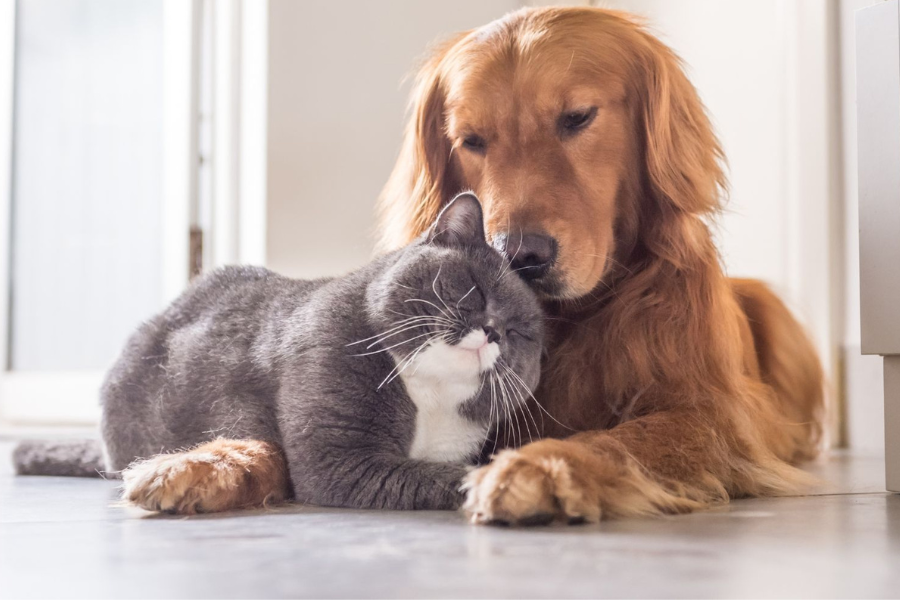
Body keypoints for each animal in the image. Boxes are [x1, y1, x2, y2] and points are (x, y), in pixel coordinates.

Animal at [14, 193, 544, 510]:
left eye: (521, 333)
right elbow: (443, 475)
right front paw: (498, 483)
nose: (493, 332)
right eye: (473, 289)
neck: (429, 396)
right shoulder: (339, 459)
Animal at [376, 4, 828, 524]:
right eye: (471, 140)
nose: (519, 255)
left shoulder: (712, 416)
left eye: (577, 117)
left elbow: (622, 439)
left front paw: (540, 467)